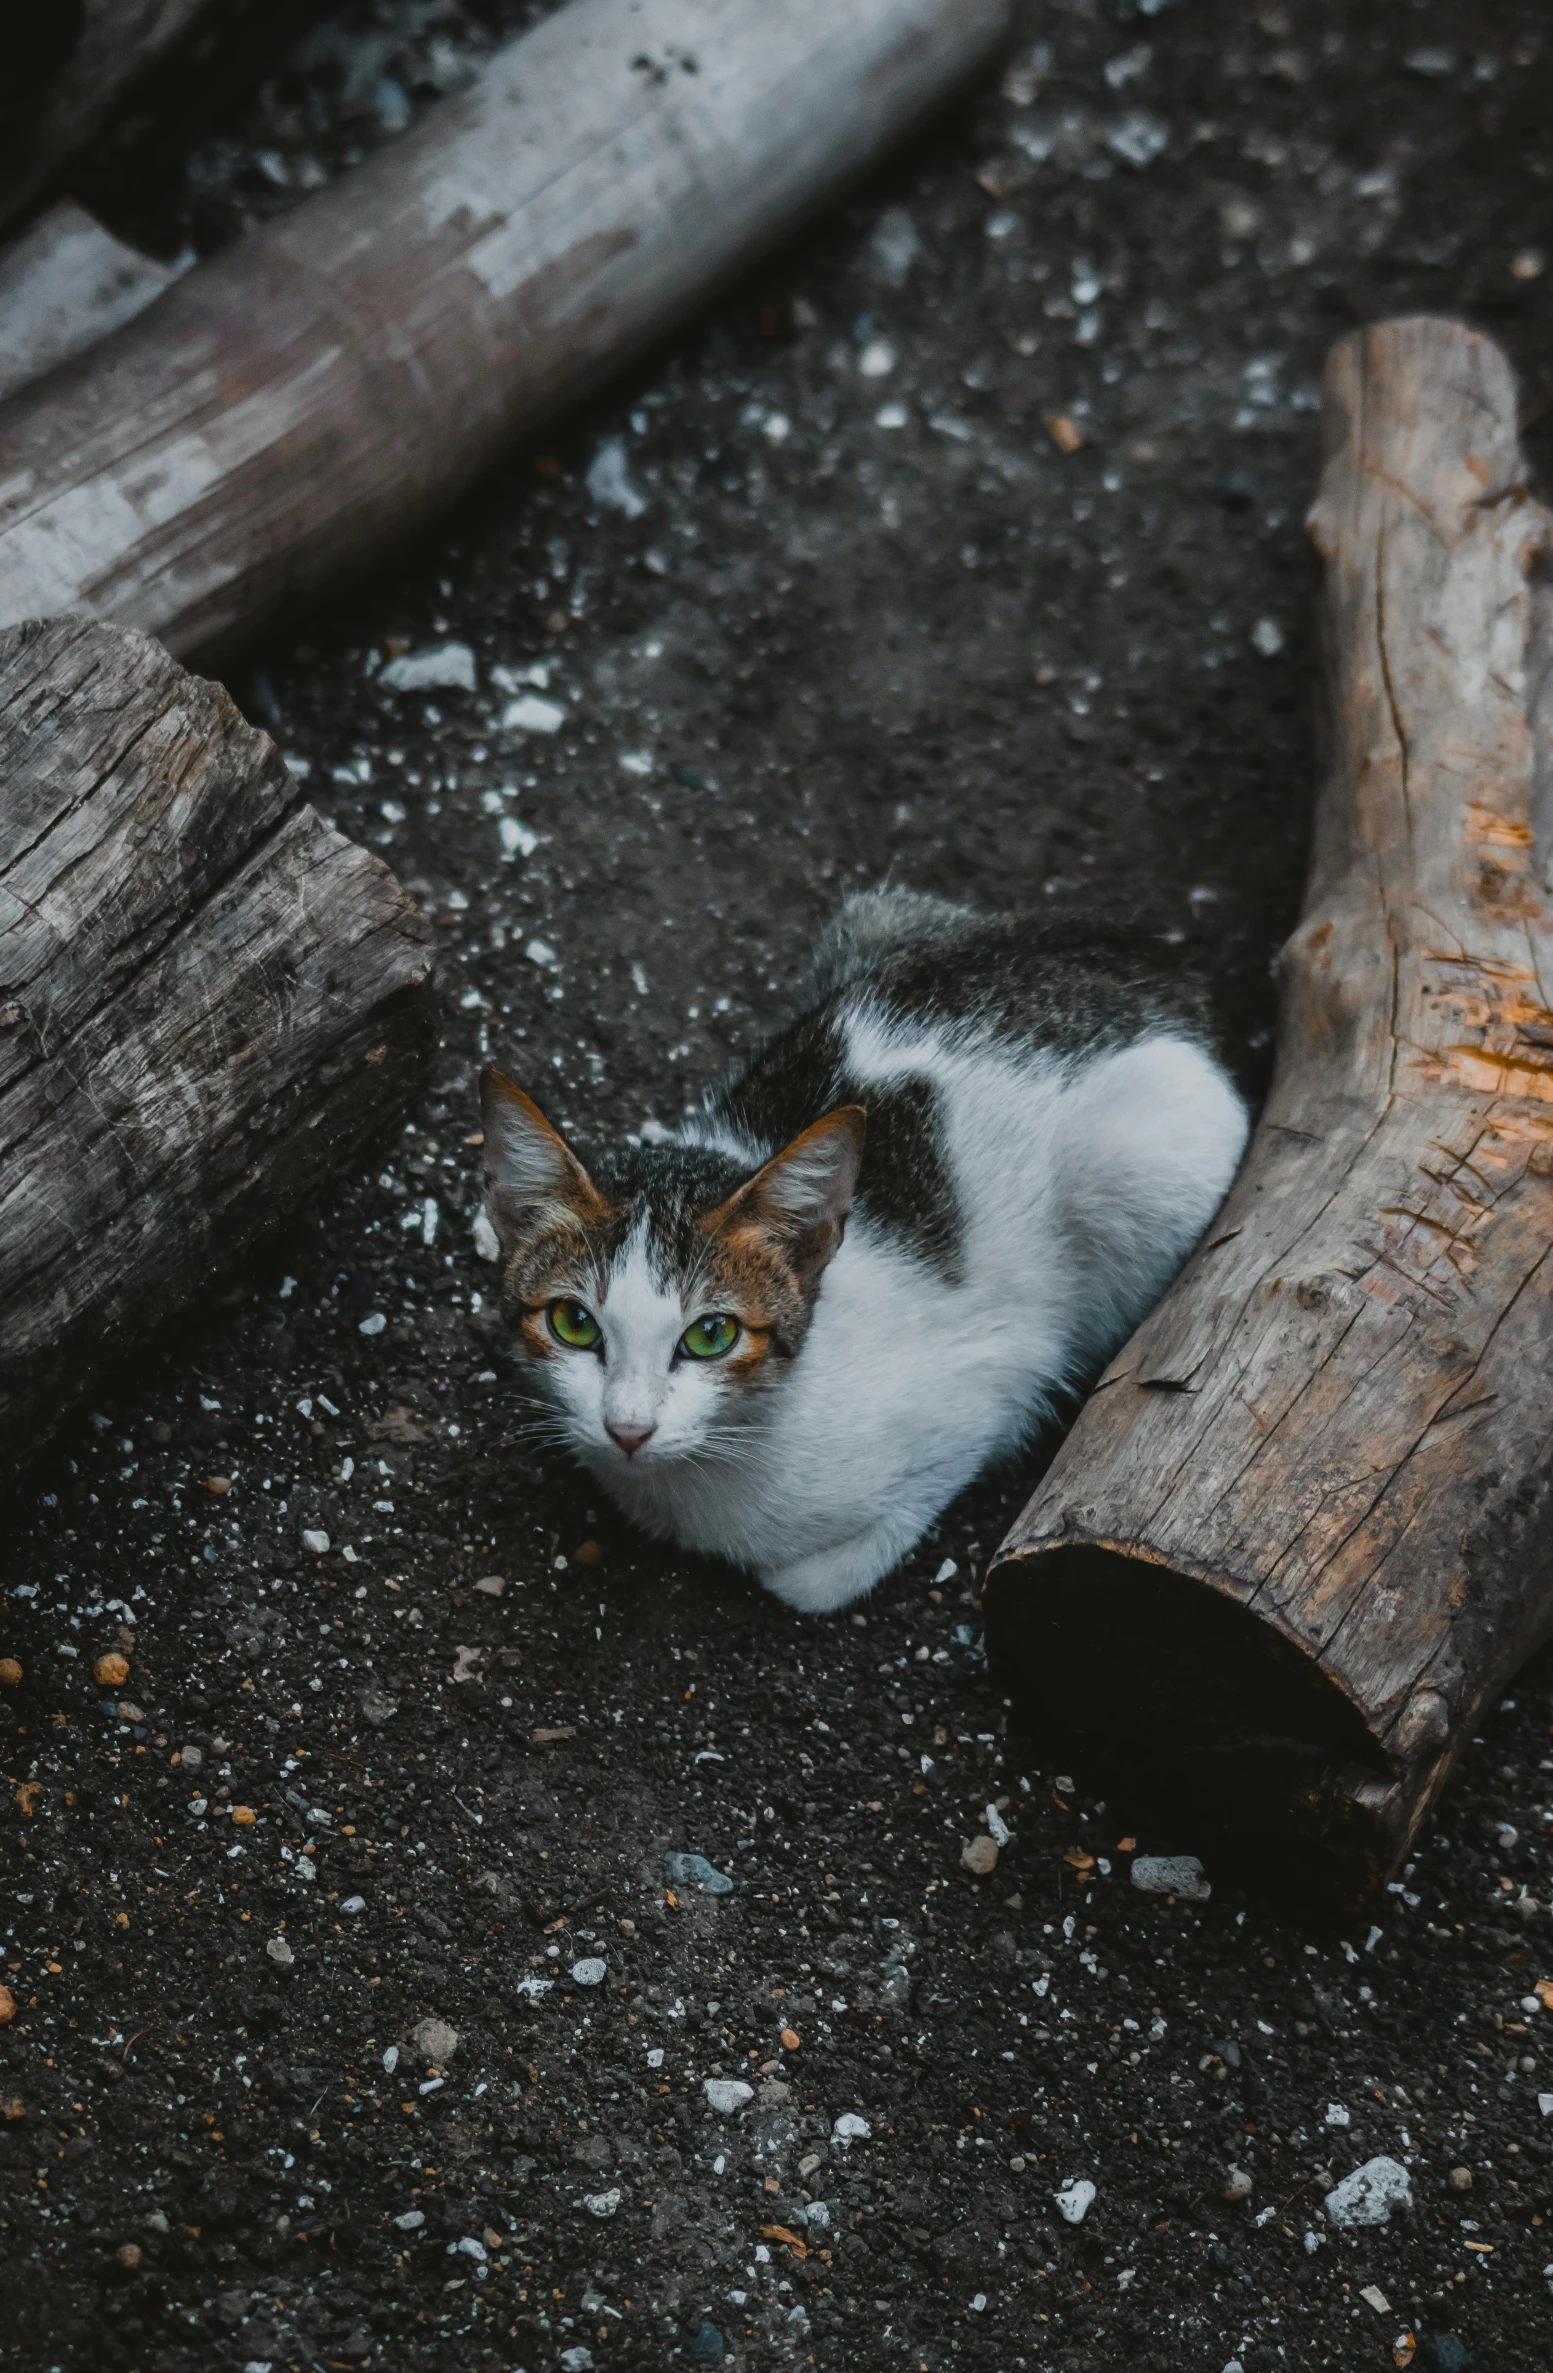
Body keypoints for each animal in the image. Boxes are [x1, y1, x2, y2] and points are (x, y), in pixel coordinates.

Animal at [484, 892, 1253, 1613]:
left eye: (710, 1335)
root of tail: (1153, 956)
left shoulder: (994, 1387)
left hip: (1143, 1158)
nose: (628, 1429)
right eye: (573, 1324)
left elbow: (817, 1575)